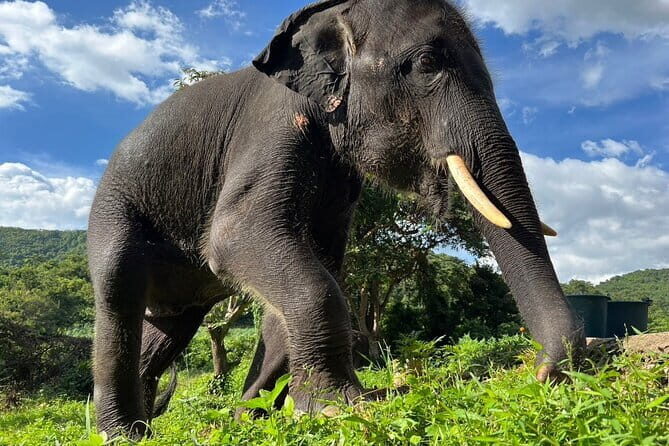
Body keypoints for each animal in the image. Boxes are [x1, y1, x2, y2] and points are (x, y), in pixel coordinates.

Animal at [88, 0, 585, 438]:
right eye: (427, 62)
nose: (543, 373)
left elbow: (319, 259)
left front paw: (265, 416)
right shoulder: (271, 126)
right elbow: (238, 236)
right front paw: (338, 407)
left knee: (170, 329)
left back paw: (149, 424)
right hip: (112, 208)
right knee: (118, 292)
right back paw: (124, 434)